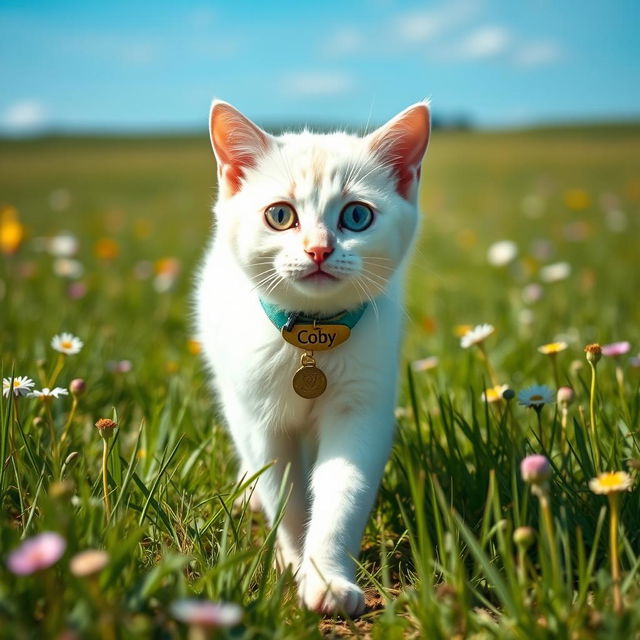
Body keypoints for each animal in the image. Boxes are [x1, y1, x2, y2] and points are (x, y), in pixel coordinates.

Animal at [195, 99, 430, 616]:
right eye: (280, 215)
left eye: (357, 216)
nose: (319, 249)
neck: (313, 338)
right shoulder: (261, 420)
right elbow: (284, 494)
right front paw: (290, 558)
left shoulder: (362, 408)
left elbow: (343, 493)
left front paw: (326, 577)